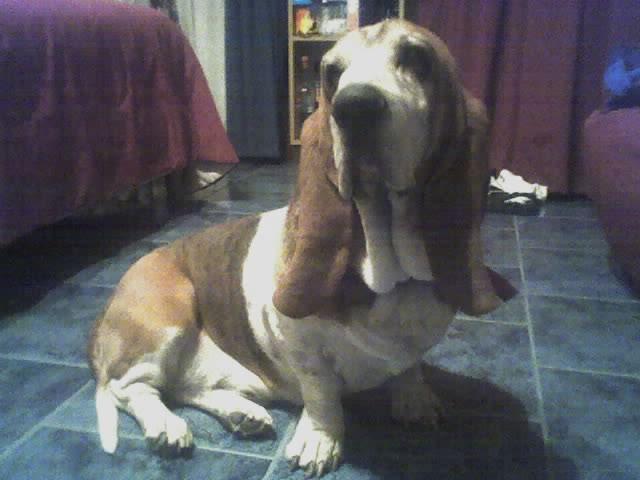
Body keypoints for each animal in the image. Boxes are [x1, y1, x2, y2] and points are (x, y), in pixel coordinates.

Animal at [88, 19, 514, 477]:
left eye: (417, 59)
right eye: (332, 73)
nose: (354, 107)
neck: (390, 278)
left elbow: (411, 365)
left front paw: (413, 398)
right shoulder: (302, 347)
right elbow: (323, 394)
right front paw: (321, 439)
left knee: (184, 387)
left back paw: (242, 414)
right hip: (168, 315)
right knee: (130, 388)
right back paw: (166, 427)